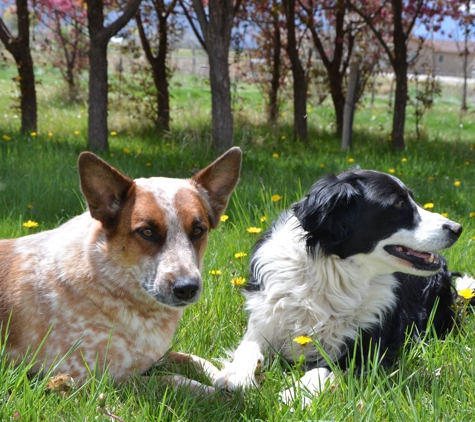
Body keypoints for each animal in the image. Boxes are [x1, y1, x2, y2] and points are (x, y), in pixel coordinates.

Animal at [0, 147, 244, 390]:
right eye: (147, 231)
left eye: (198, 230)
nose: (187, 288)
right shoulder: (96, 380)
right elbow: (176, 380)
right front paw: (217, 392)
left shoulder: (154, 356)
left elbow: (196, 360)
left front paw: (228, 377)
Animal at [218, 170, 468, 404]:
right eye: (398, 204)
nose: (458, 228)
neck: (331, 276)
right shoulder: (266, 319)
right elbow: (248, 348)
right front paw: (236, 375)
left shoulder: (368, 347)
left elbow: (324, 368)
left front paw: (295, 394)